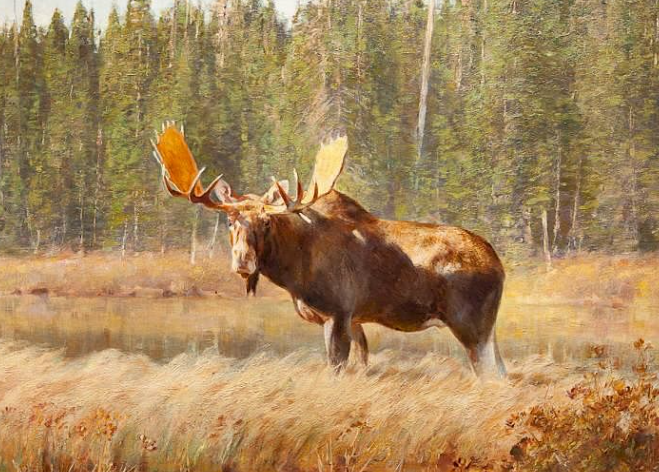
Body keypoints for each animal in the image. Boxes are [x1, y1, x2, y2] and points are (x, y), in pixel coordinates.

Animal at [151, 122, 506, 377]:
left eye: (266, 222)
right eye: (229, 221)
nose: (243, 262)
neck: (294, 271)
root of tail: (499, 264)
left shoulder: (338, 313)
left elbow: (337, 368)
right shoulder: (350, 318)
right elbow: (360, 364)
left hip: (471, 324)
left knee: (490, 374)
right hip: (487, 328)